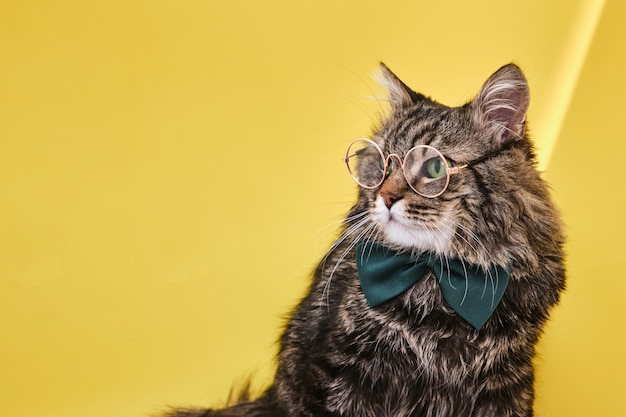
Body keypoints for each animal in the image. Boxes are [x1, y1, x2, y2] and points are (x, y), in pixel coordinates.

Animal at [166, 61, 564, 416]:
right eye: (383, 162)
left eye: (435, 167)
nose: (384, 198)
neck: (437, 284)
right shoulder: (343, 372)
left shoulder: (505, 385)